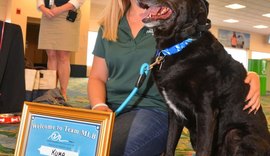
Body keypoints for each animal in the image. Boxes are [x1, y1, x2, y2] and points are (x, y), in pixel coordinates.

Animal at [137, 0, 270, 155]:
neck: (178, 46)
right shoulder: (174, 113)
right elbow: (169, 146)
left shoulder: (206, 111)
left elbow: (202, 150)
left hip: (235, 134)